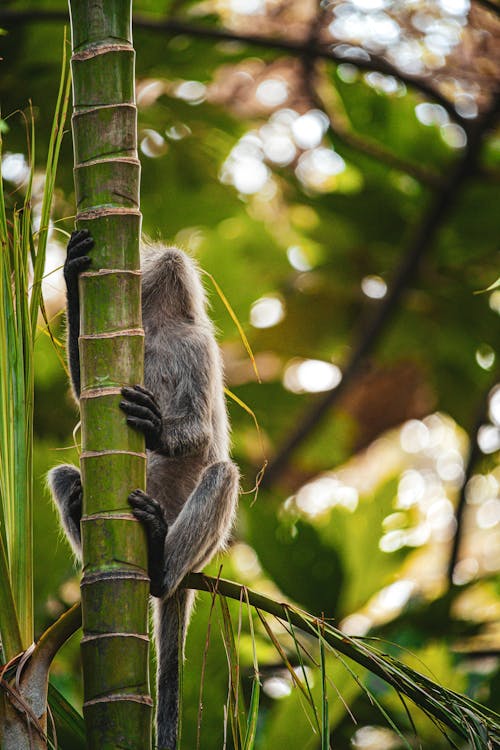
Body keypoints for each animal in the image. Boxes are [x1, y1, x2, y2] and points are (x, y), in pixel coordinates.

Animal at [47, 231, 239, 750]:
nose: (170, 254)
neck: (162, 330)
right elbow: (82, 393)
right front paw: (72, 272)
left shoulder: (198, 346)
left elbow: (197, 430)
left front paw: (155, 429)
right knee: (64, 474)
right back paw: (82, 503)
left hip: (197, 544)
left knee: (222, 473)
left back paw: (158, 563)